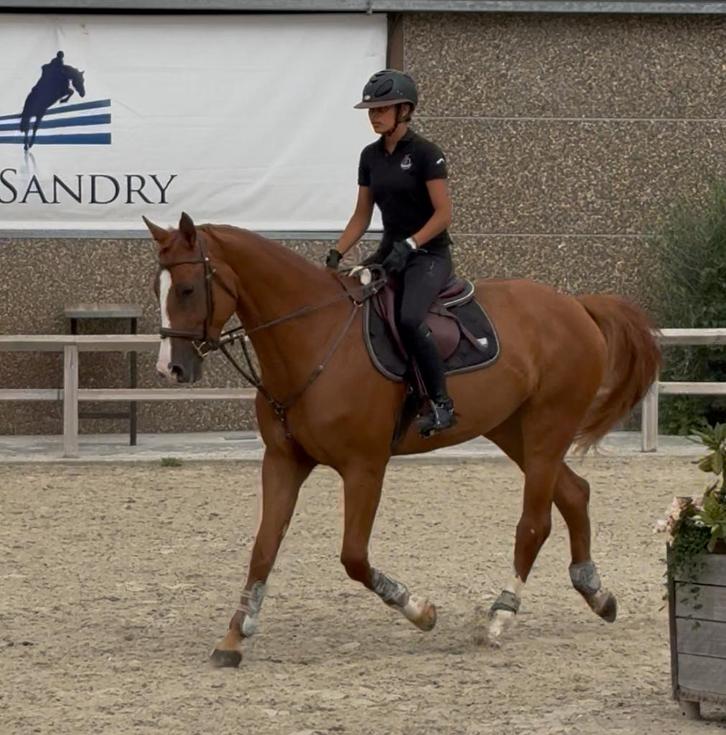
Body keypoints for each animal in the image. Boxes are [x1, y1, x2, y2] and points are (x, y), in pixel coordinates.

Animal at [144, 212, 661, 668]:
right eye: (158, 289)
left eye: (187, 289)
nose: (170, 369)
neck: (313, 337)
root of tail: (576, 305)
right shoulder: (283, 462)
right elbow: (263, 550)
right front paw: (233, 638)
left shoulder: (365, 468)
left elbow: (353, 557)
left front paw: (420, 611)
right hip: (513, 430)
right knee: (574, 493)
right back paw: (597, 594)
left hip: (546, 429)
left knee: (534, 523)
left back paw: (501, 616)